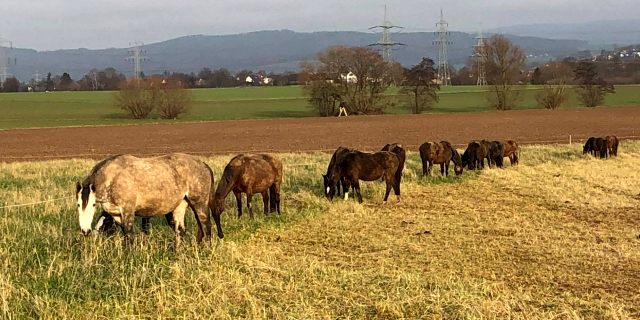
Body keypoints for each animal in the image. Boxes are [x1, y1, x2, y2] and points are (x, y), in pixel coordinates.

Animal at [73, 154, 220, 249]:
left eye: (93, 205)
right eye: (78, 205)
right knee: (180, 231)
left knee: (206, 227)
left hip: (199, 204)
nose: (85, 230)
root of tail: (204, 165)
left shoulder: (128, 211)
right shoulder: (116, 214)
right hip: (180, 205)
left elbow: (129, 235)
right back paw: (177, 254)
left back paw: (207, 251)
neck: (112, 177)